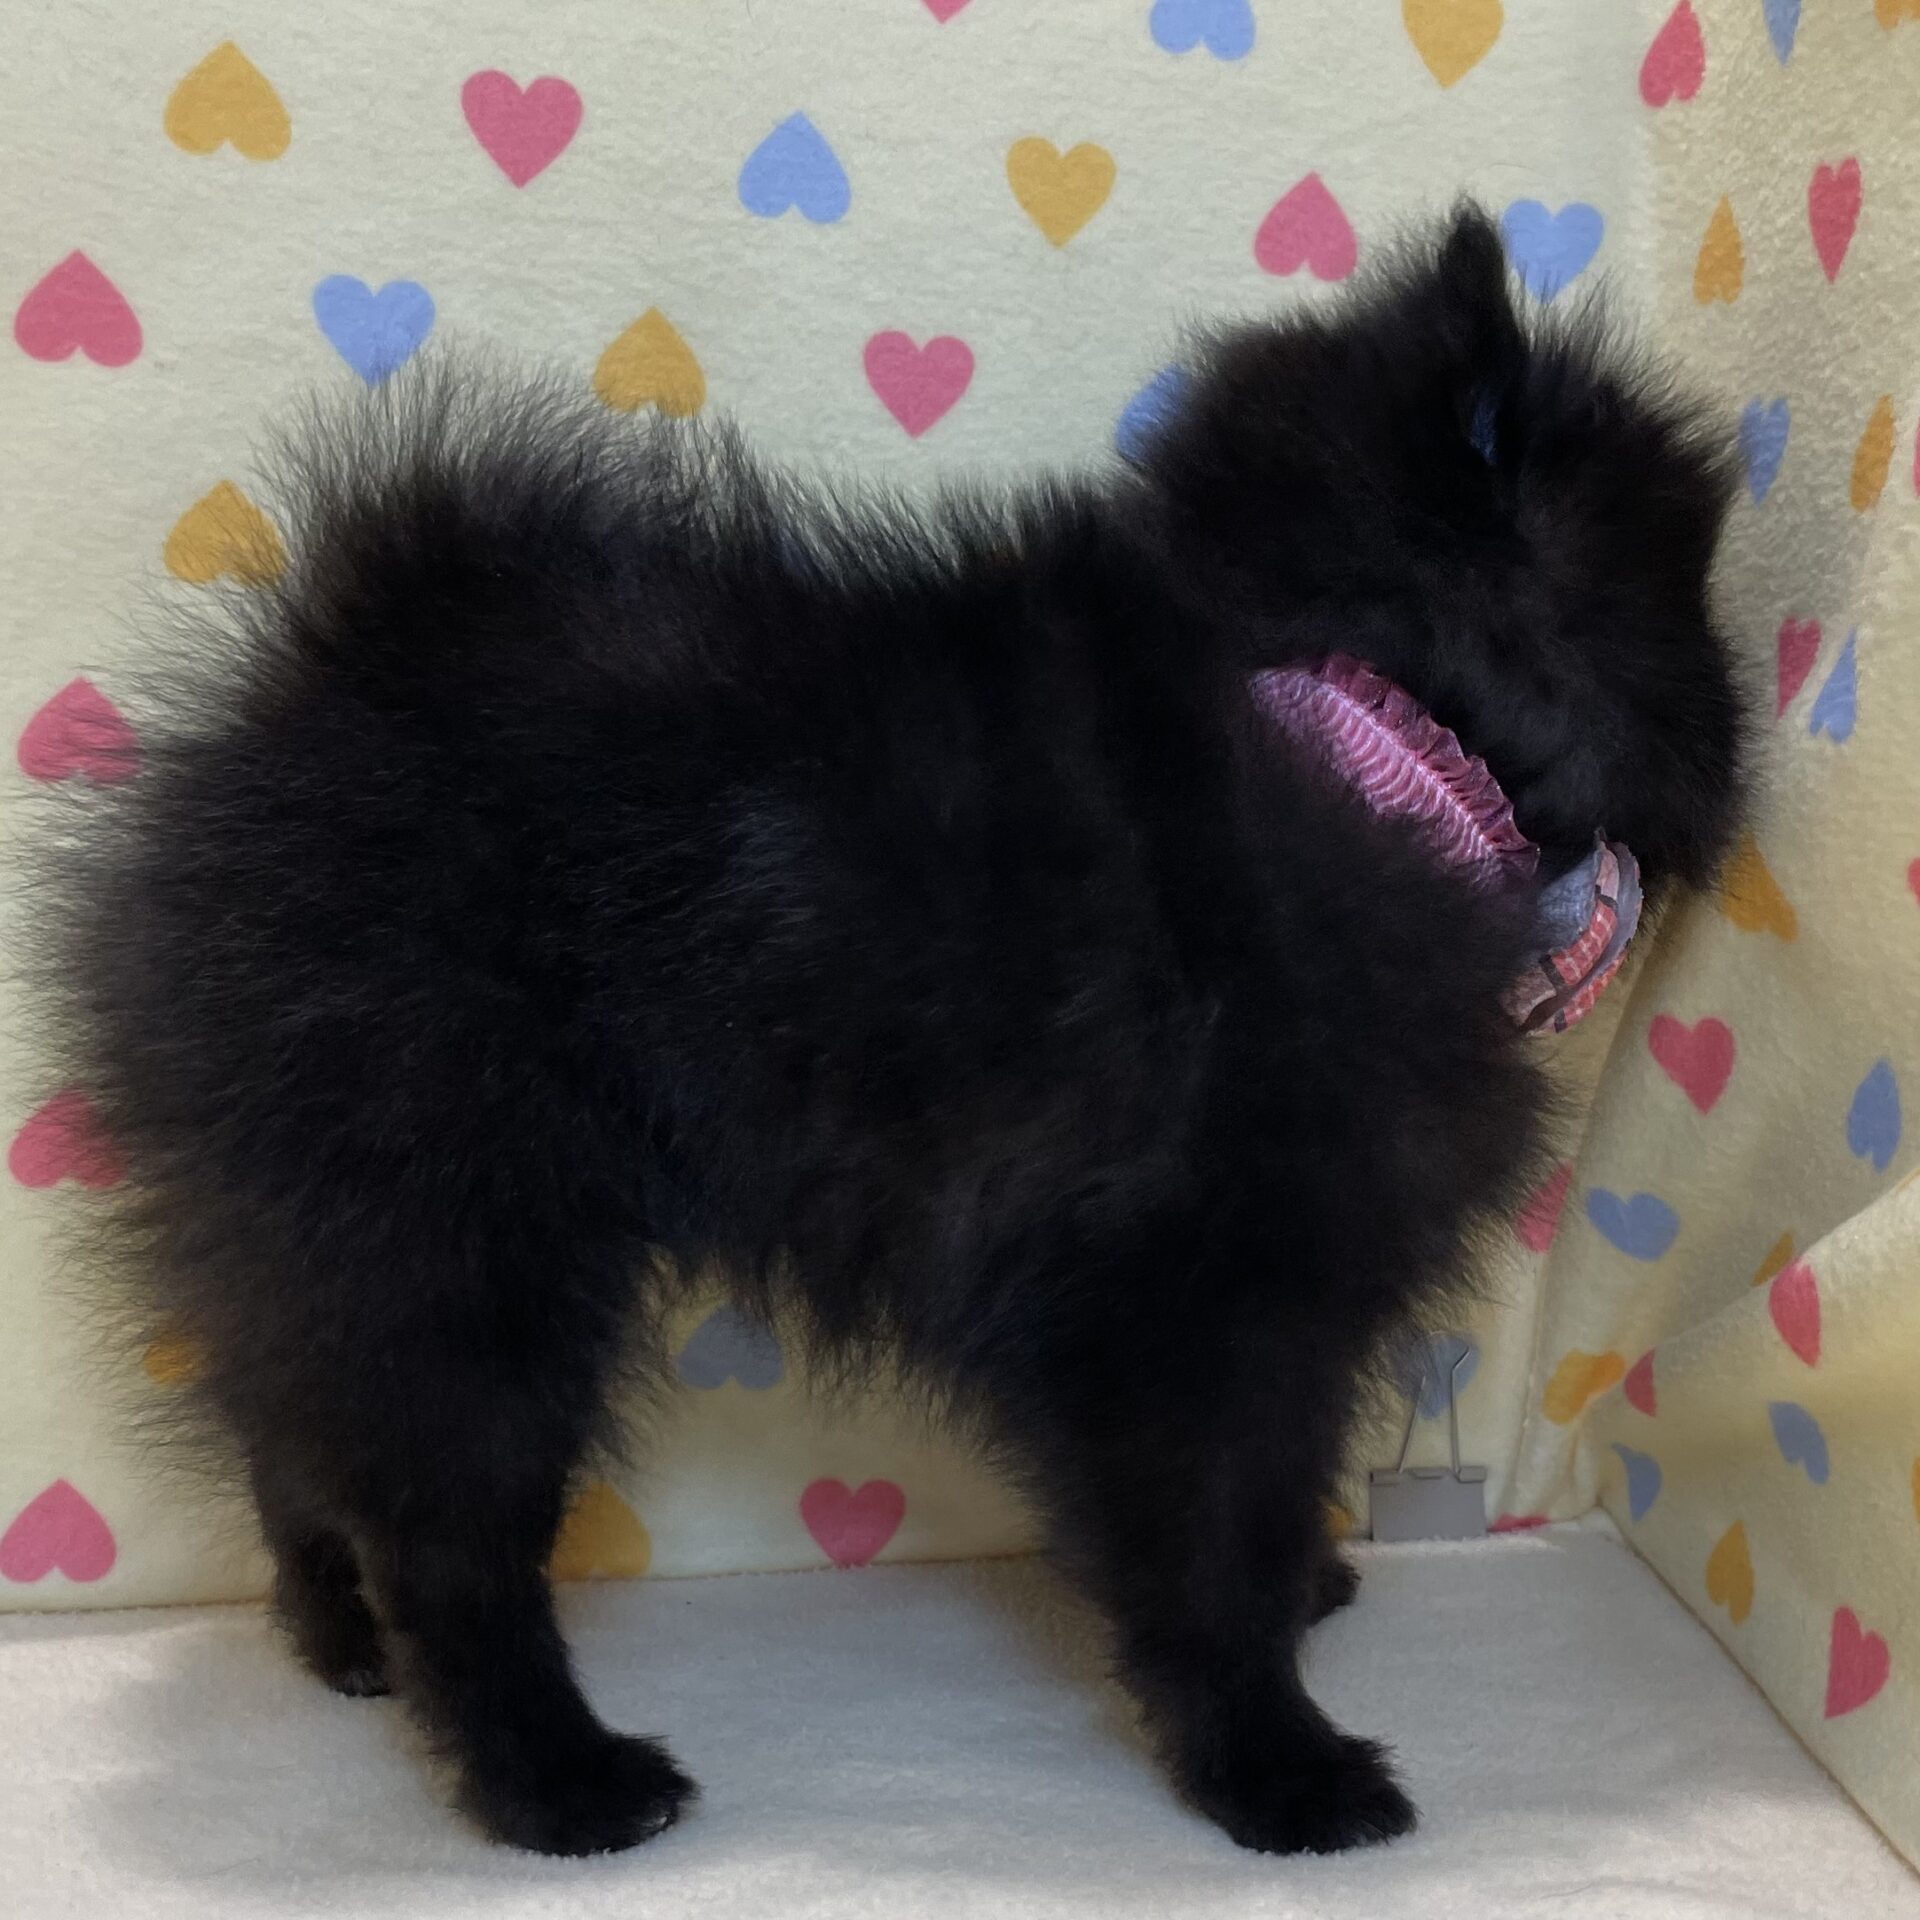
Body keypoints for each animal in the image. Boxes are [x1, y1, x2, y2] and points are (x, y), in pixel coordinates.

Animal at [33, 205, 1748, 1857]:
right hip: (467, 1235)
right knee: (448, 1539)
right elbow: (1216, 1547)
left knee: (295, 1431)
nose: (1748, 689)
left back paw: (339, 1638)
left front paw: (1304, 1617)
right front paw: (1276, 1766)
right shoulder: (1200, 1296)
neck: (1384, 742)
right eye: (1693, 580)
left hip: (331, 1227)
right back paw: (560, 1783)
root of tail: (310, 691)